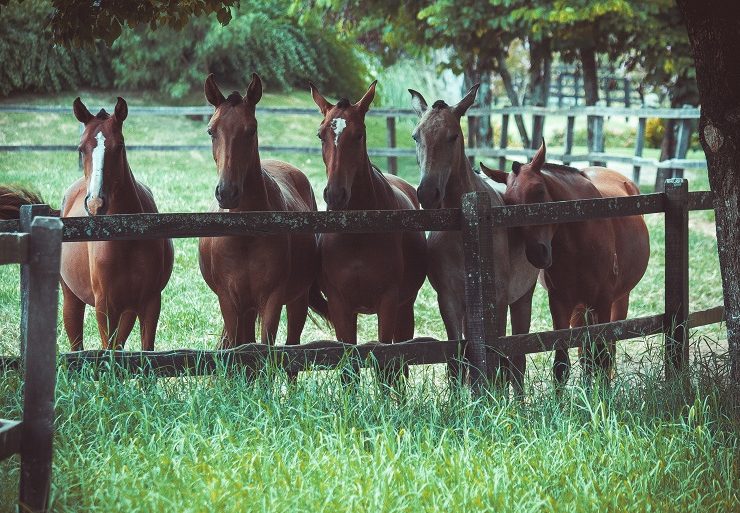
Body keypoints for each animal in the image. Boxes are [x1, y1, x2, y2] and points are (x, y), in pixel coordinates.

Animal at [61, 97, 174, 351]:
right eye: (81, 148)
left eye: (120, 146)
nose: (95, 203)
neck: (126, 235)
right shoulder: (105, 307)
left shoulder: (149, 302)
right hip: (71, 299)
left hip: (128, 310)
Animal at [199, 73, 323, 350]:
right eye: (211, 131)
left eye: (251, 129)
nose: (227, 192)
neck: (246, 235)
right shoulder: (229, 301)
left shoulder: (272, 300)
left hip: (296, 300)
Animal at [309, 81, 427, 380]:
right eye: (320, 134)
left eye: (359, 134)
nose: (335, 195)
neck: (358, 233)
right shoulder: (340, 305)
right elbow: (348, 368)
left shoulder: (388, 302)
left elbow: (387, 363)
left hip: (405, 307)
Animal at [408, 86, 539, 392]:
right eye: (416, 136)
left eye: (453, 136)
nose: (427, 194)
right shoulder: (449, 299)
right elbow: (457, 360)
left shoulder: (498, 300)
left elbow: (499, 359)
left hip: (522, 297)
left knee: (518, 359)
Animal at [481, 141, 650, 383]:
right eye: (509, 203)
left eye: (539, 191)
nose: (537, 253)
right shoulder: (560, 303)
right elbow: (562, 365)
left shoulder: (603, 301)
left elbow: (602, 358)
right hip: (580, 309)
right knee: (585, 354)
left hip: (618, 300)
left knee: (607, 351)